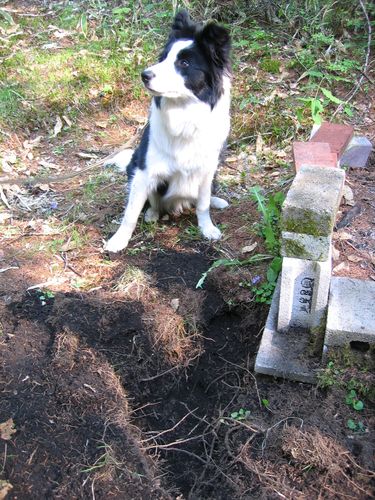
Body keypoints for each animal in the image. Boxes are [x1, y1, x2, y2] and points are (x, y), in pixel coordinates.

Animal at [104, 10, 231, 254]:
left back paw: (217, 201)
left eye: (184, 62)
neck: (184, 115)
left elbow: (202, 203)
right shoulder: (144, 171)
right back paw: (152, 214)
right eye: (163, 58)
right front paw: (118, 240)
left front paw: (207, 228)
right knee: (151, 202)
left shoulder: (207, 168)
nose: (144, 75)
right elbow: (131, 213)